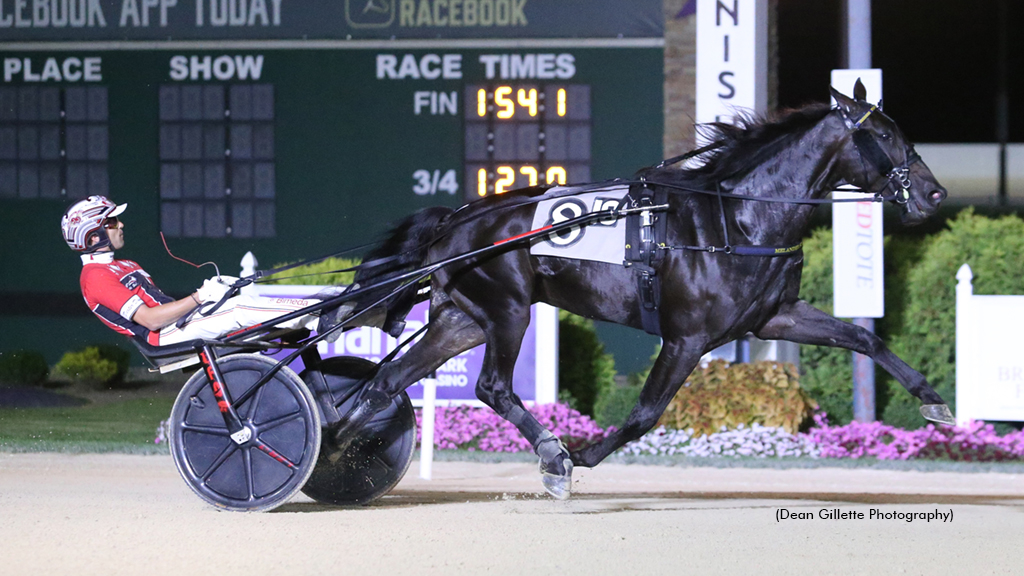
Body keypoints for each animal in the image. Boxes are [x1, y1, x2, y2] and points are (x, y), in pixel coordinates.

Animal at [329, 84, 950, 498]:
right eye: (885, 135)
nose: (935, 194)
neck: (736, 220)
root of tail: (453, 222)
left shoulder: (775, 316)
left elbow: (862, 339)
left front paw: (933, 399)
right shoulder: (686, 337)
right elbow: (645, 414)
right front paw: (575, 456)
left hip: (463, 319)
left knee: (386, 382)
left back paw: (335, 445)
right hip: (507, 310)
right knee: (491, 387)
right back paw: (551, 451)